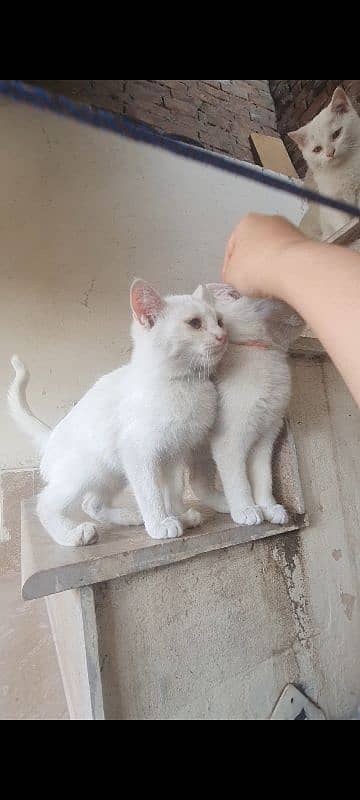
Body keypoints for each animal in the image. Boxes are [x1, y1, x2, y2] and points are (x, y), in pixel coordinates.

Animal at [7, 278, 228, 548]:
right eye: (194, 323)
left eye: (219, 321)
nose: (223, 335)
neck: (183, 383)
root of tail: (51, 437)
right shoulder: (139, 453)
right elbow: (151, 492)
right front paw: (160, 523)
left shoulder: (174, 454)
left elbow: (174, 489)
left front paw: (179, 515)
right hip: (87, 470)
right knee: (46, 503)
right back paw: (73, 534)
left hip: (114, 471)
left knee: (91, 503)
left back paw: (129, 517)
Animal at [190, 286, 302, 524]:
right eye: (233, 295)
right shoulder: (231, 439)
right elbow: (239, 480)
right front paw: (247, 509)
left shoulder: (266, 435)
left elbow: (263, 477)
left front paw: (268, 507)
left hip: (201, 453)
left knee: (198, 482)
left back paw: (223, 505)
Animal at [288, 88, 360, 239]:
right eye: (317, 149)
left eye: (337, 134)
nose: (330, 153)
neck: (343, 168)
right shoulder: (333, 206)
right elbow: (342, 223)